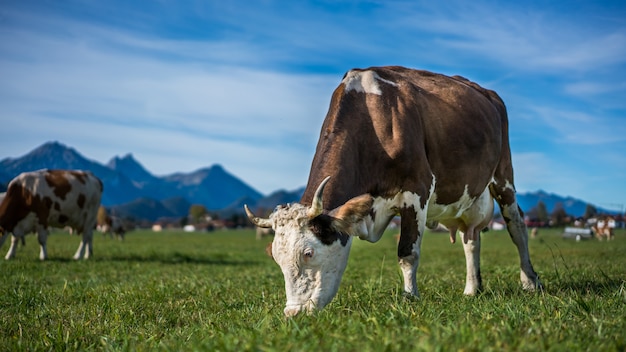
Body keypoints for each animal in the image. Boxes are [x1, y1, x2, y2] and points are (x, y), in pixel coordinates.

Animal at [245, 65, 540, 316]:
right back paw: (471, 289)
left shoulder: (417, 190)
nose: (293, 313)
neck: (374, 119)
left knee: (517, 227)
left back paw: (530, 281)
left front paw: (410, 297)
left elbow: (407, 253)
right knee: (471, 239)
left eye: (309, 253)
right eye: (276, 257)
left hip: (503, 176)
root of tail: (488, 94)